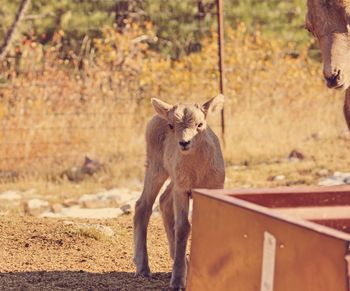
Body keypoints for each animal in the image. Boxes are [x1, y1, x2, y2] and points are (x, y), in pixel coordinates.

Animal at [133, 95, 226, 290]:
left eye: (200, 124)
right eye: (171, 125)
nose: (184, 143)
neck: (198, 173)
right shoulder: (183, 191)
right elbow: (184, 228)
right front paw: (177, 282)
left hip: (171, 181)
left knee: (162, 201)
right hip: (157, 168)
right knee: (143, 206)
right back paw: (143, 268)